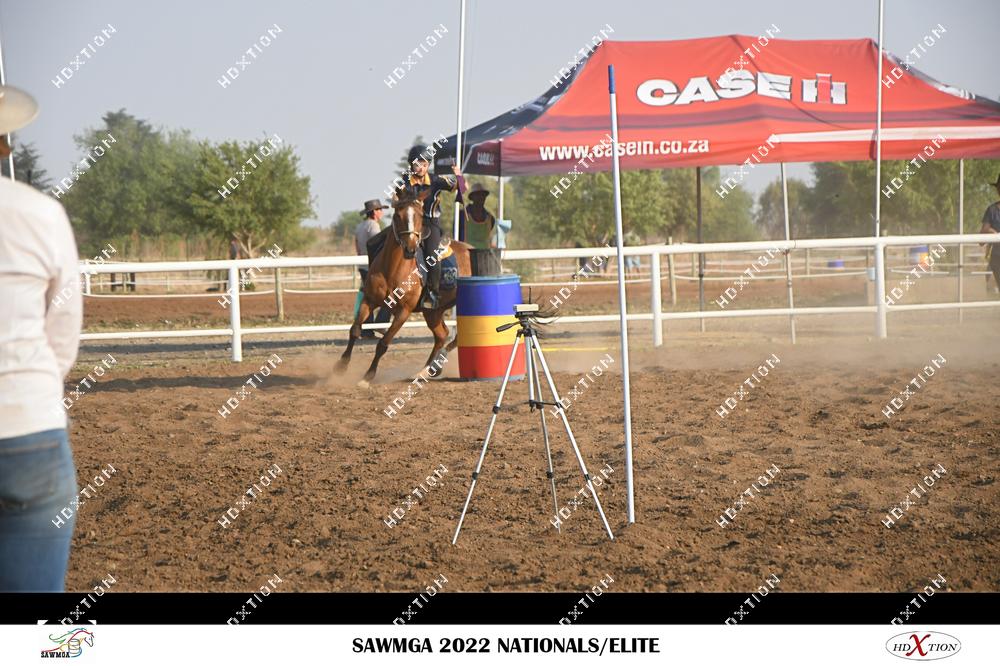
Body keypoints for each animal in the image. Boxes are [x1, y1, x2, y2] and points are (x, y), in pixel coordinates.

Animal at [337, 189, 472, 386]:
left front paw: (368, 376)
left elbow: (383, 344)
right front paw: (341, 366)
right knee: (442, 334)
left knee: (457, 336)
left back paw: (434, 366)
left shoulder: (403, 311)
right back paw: (425, 370)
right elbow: (354, 330)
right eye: (398, 215)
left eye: (419, 216)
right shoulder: (369, 300)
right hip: (433, 311)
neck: (393, 268)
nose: (410, 248)